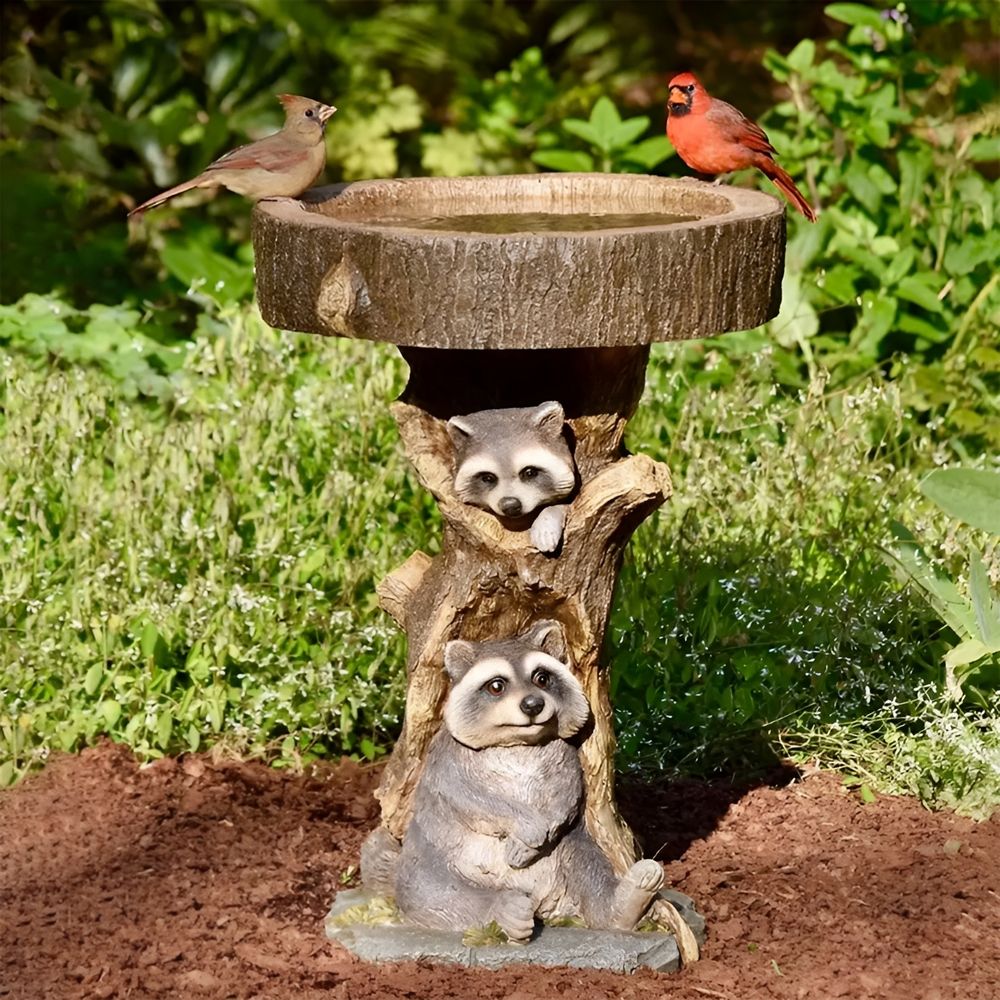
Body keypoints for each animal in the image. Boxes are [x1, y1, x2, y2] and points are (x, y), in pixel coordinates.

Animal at [361, 621, 663, 942]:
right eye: (496, 686)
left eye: (542, 678)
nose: (533, 704)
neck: (517, 742)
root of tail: (543, 903)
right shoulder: (447, 757)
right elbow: (470, 797)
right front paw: (526, 827)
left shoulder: (563, 753)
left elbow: (567, 792)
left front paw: (536, 833)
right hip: (425, 860)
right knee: (434, 894)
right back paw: (504, 909)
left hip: (572, 850)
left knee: (589, 867)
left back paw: (624, 903)